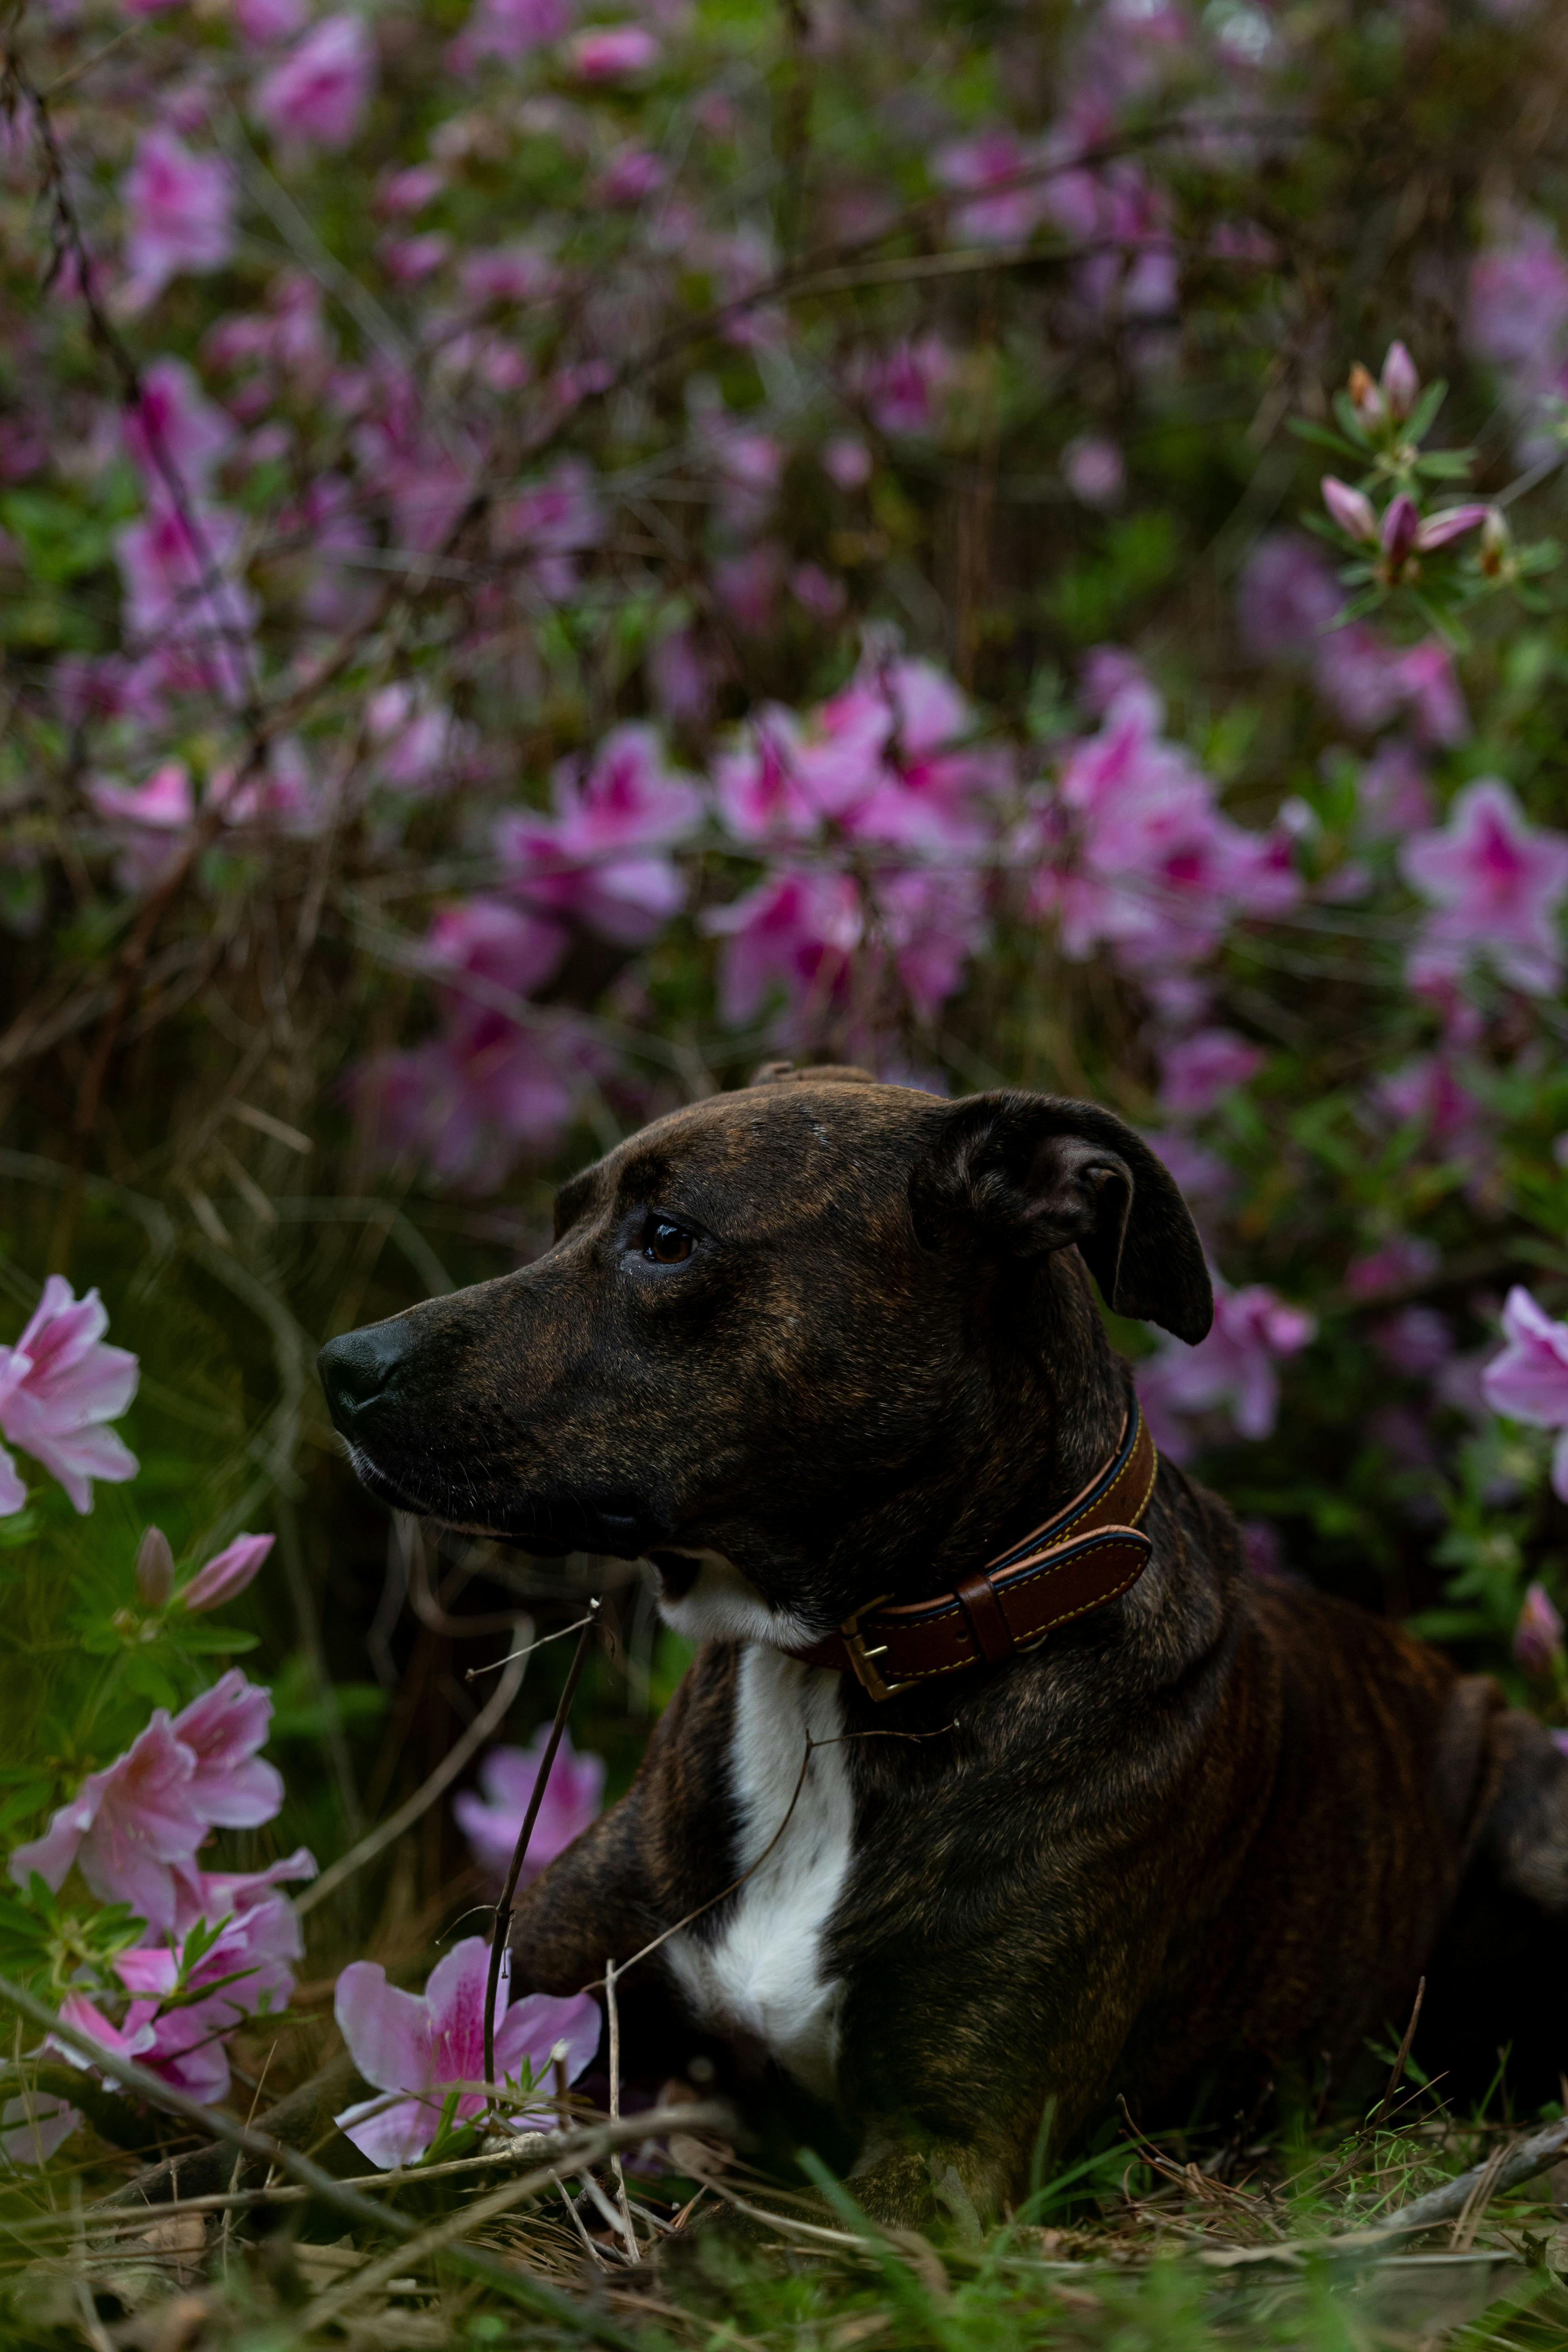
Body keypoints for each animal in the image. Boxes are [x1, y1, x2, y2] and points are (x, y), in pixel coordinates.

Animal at [315, 1067, 1568, 2220]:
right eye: (562, 1219)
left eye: (667, 1238)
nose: (341, 1367)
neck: (837, 1667)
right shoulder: (534, 1989)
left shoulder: (946, 2145)